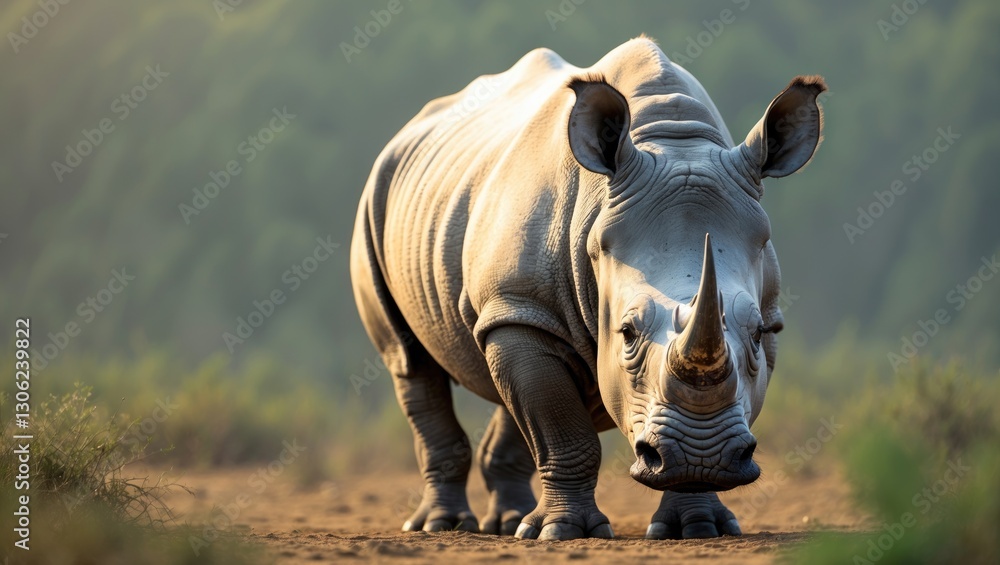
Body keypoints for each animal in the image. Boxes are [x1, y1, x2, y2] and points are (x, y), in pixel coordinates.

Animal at [350, 37, 826, 540]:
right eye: (628, 333)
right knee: (410, 360)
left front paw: (699, 527)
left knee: (499, 370)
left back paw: (509, 523)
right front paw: (560, 533)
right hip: (379, 200)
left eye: (755, 333)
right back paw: (443, 526)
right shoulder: (523, 302)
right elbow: (558, 426)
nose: (701, 456)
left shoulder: (769, 313)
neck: (672, 141)